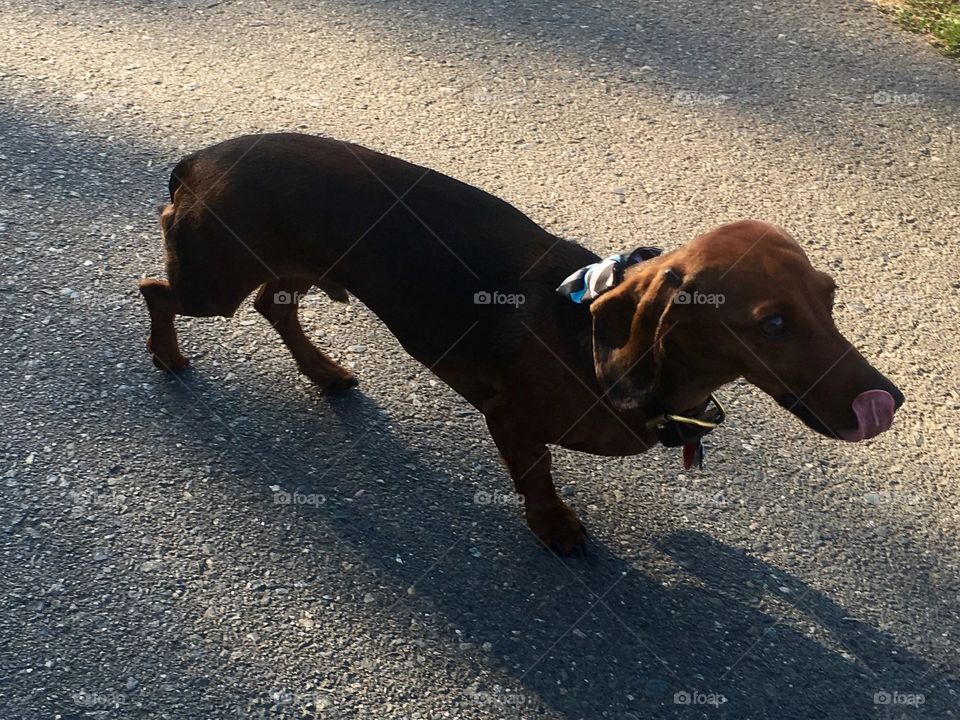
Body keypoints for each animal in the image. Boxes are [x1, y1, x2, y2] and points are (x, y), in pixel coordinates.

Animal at [139, 134, 904, 552]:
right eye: (773, 322)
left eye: (830, 297)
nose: (890, 401)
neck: (586, 334)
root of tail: (200, 160)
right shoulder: (509, 420)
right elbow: (536, 476)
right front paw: (554, 525)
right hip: (212, 284)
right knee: (156, 288)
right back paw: (168, 355)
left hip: (285, 271)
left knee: (274, 306)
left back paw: (323, 370)